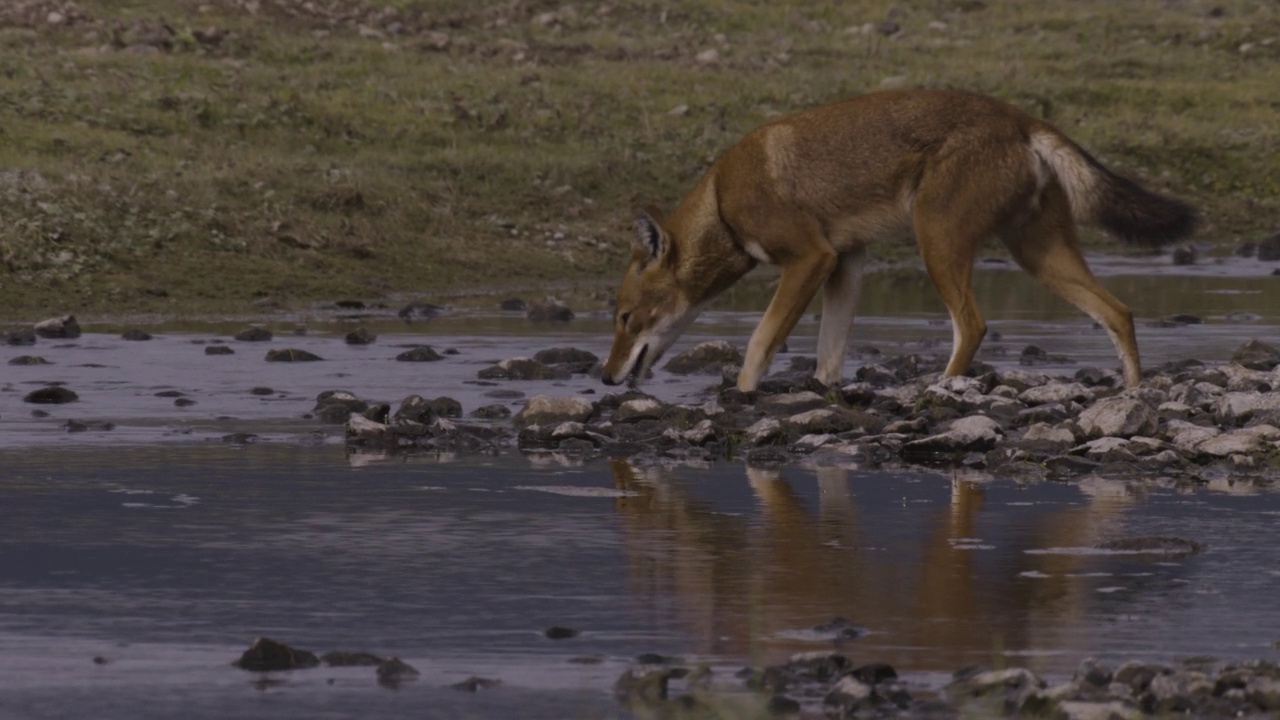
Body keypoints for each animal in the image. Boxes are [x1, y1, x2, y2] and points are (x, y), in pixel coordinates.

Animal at [604, 90, 1192, 392]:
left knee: (973, 326)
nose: (606, 379)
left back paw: (934, 391)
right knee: (1118, 312)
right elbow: (828, 360)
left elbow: (758, 344)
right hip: (1038, 257)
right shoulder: (845, 264)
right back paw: (1132, 395)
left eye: (625, 318)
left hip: (939, 246)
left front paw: (742, 398)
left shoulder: (811, 259)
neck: (723, 200)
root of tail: (1021, 119)